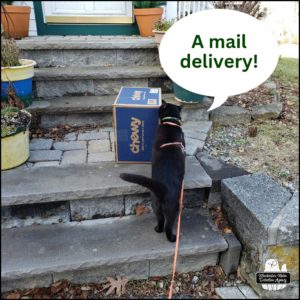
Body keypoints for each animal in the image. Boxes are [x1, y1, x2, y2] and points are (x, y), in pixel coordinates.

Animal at [119, 100, 185, 241]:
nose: (160, 105)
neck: (170, 122)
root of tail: (163, 189)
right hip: (173, 207)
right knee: (168, 224)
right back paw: (172, 238)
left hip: (155, 204)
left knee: (161, 220)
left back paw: (158, 230)